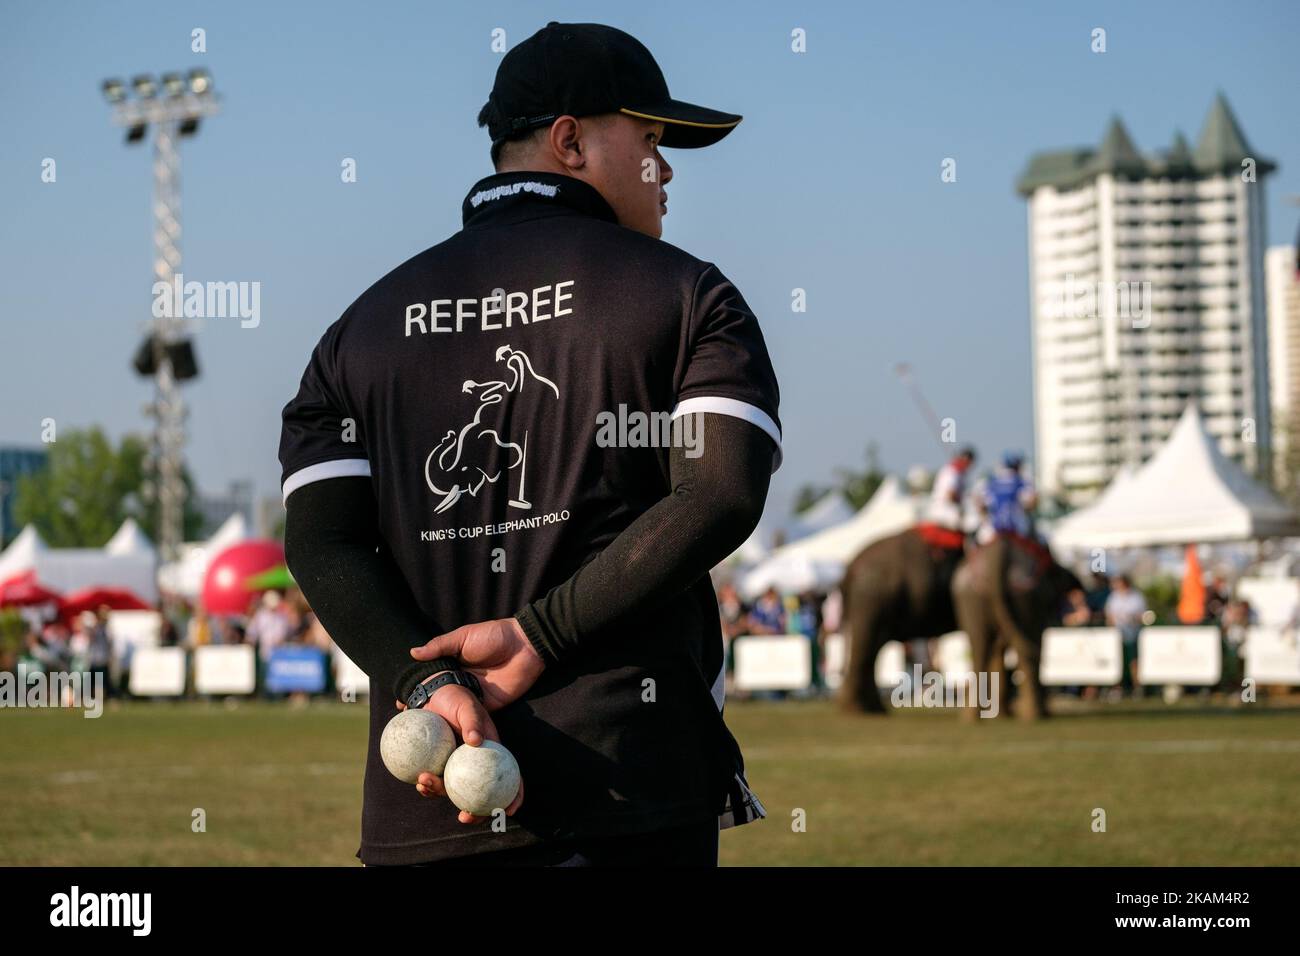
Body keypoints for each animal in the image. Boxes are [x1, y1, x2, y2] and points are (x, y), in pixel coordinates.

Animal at [837, 522, 972, 717]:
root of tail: (849, 569)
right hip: (873, 598)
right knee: (867, 645)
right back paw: (860, 710)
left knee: (871, 648)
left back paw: (873, 709)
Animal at [951, 535, 1081, 723]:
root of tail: (997, 552)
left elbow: (998, 649)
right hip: (1025, 595)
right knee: (1025, 650)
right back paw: (1034, 716)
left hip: (970, 597)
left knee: (979, 646)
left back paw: (972, 718)